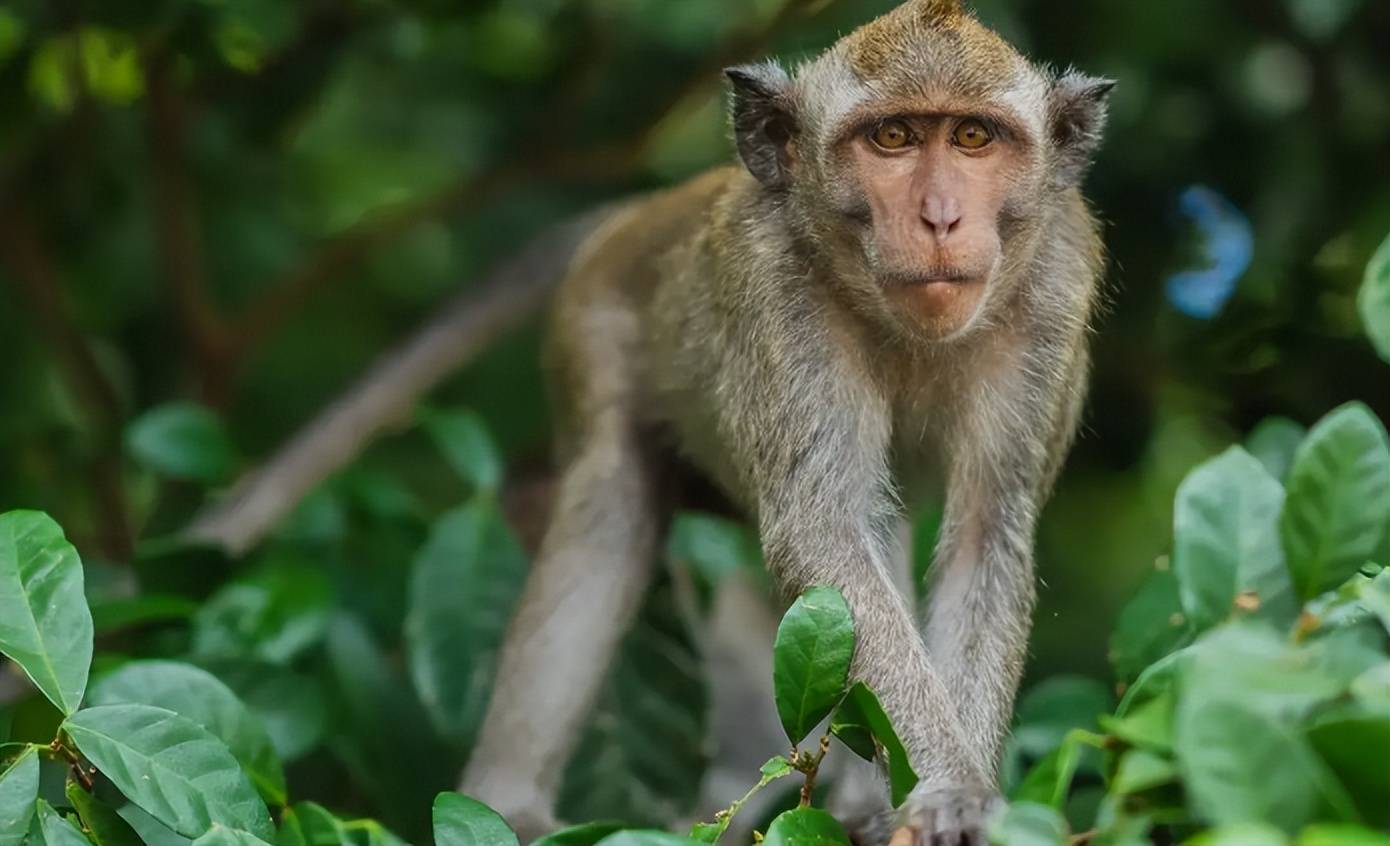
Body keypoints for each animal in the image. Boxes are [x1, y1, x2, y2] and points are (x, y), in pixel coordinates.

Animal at [461, 3, 1112, 839]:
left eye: (973, 137)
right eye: (892, 137)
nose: (940, 216)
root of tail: (637, 216)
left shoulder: (1055, 284)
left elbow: (982, 533)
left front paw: (957, 798)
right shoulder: (776, 290)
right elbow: (824, 529)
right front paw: (952, 789)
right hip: (590, 330)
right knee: (610, 508)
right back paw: (507, 806)